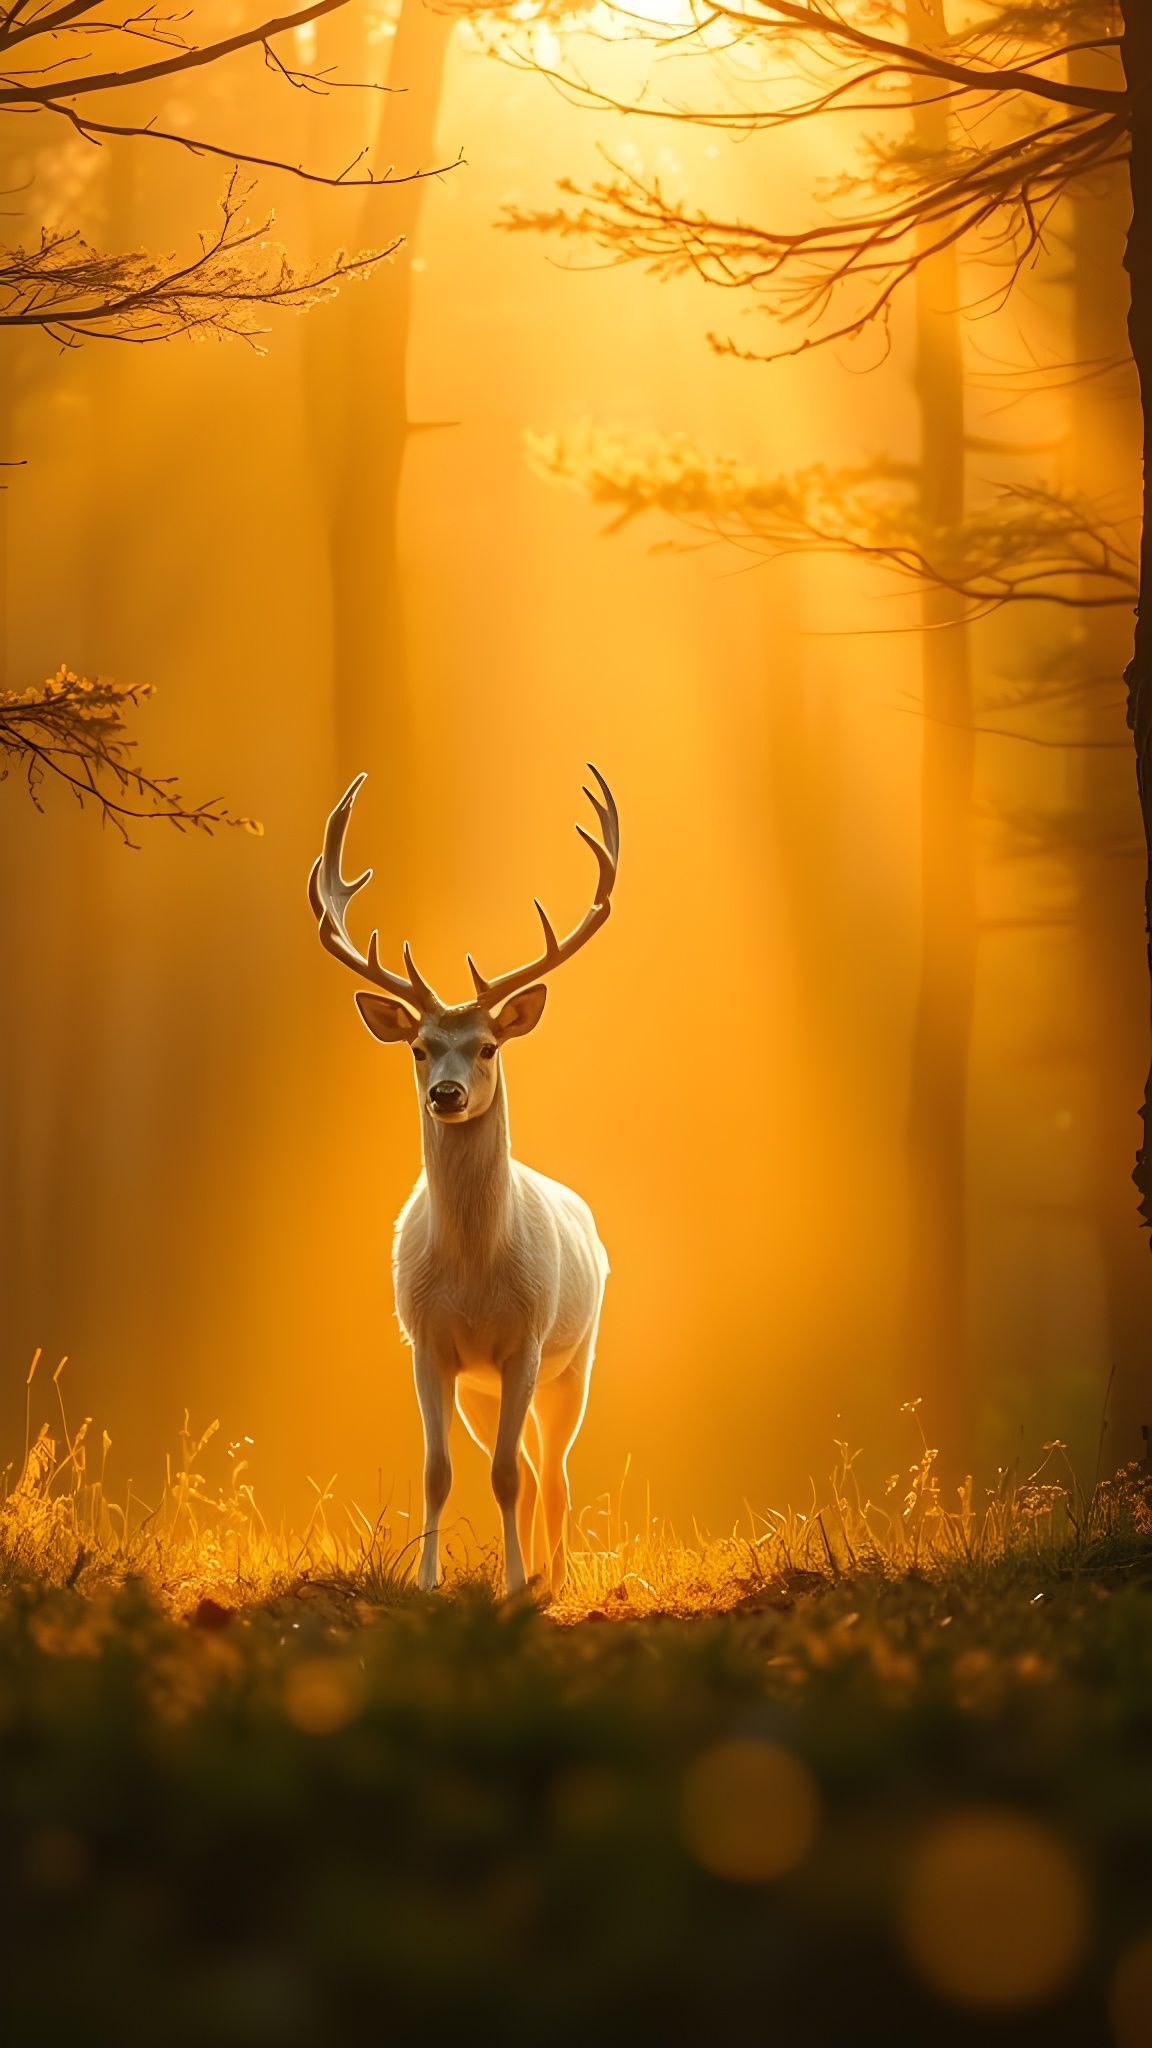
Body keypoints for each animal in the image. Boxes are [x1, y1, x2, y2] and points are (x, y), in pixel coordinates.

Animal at [308, 767, 619, 1598]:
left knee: (554, 1472)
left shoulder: (525, 1340)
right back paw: (540, 1569)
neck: (477, 1271)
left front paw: (514, 1586)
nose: (445, 1094)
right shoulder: (428, 1343)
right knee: (533, 1472)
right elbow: (438, 1471)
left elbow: (508, 1475)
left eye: (486, 1046)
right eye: (419, 1047)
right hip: (483, 1389)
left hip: (574, 1360)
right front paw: (428, 1581)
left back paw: (553, 1575)